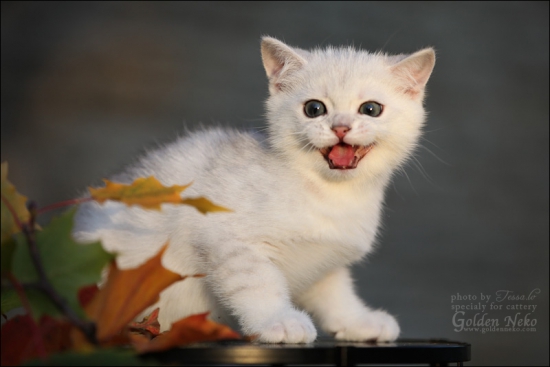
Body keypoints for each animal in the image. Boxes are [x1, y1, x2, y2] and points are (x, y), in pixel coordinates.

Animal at [73, 36, 438, 344]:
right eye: (314, 109)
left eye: (371, 109)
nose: (341, 127)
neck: (331, 196)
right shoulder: (225, 236)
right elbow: (258, 283)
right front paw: (278, 322)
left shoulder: (323, 258)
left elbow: (335, 291)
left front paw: (357, 320)